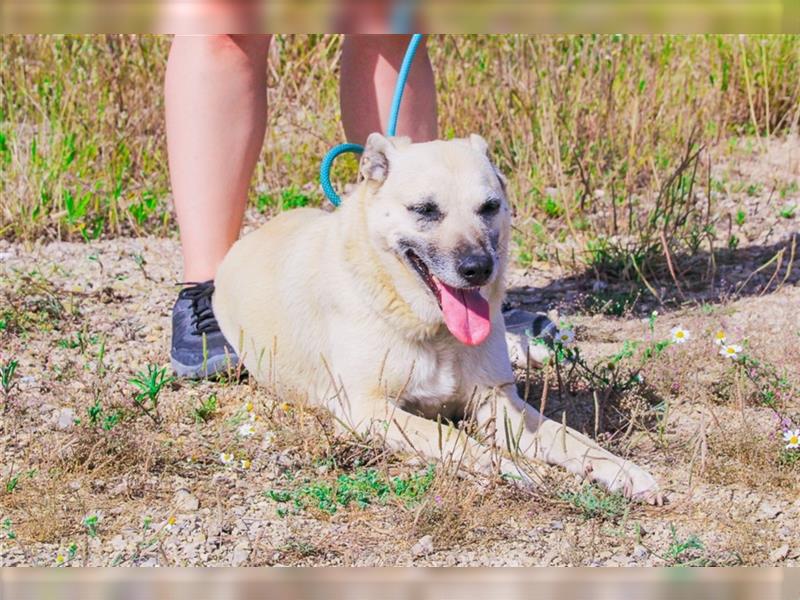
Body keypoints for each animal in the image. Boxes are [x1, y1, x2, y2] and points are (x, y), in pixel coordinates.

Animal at [212, 134, 664, 504]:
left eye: (490, 207)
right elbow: (453, 438)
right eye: (425, 210)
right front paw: (510, 467)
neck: (432, 330)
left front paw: (622, 470)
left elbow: (570, 437)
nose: (478, 269)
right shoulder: (368, 410)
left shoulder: (498, 402)